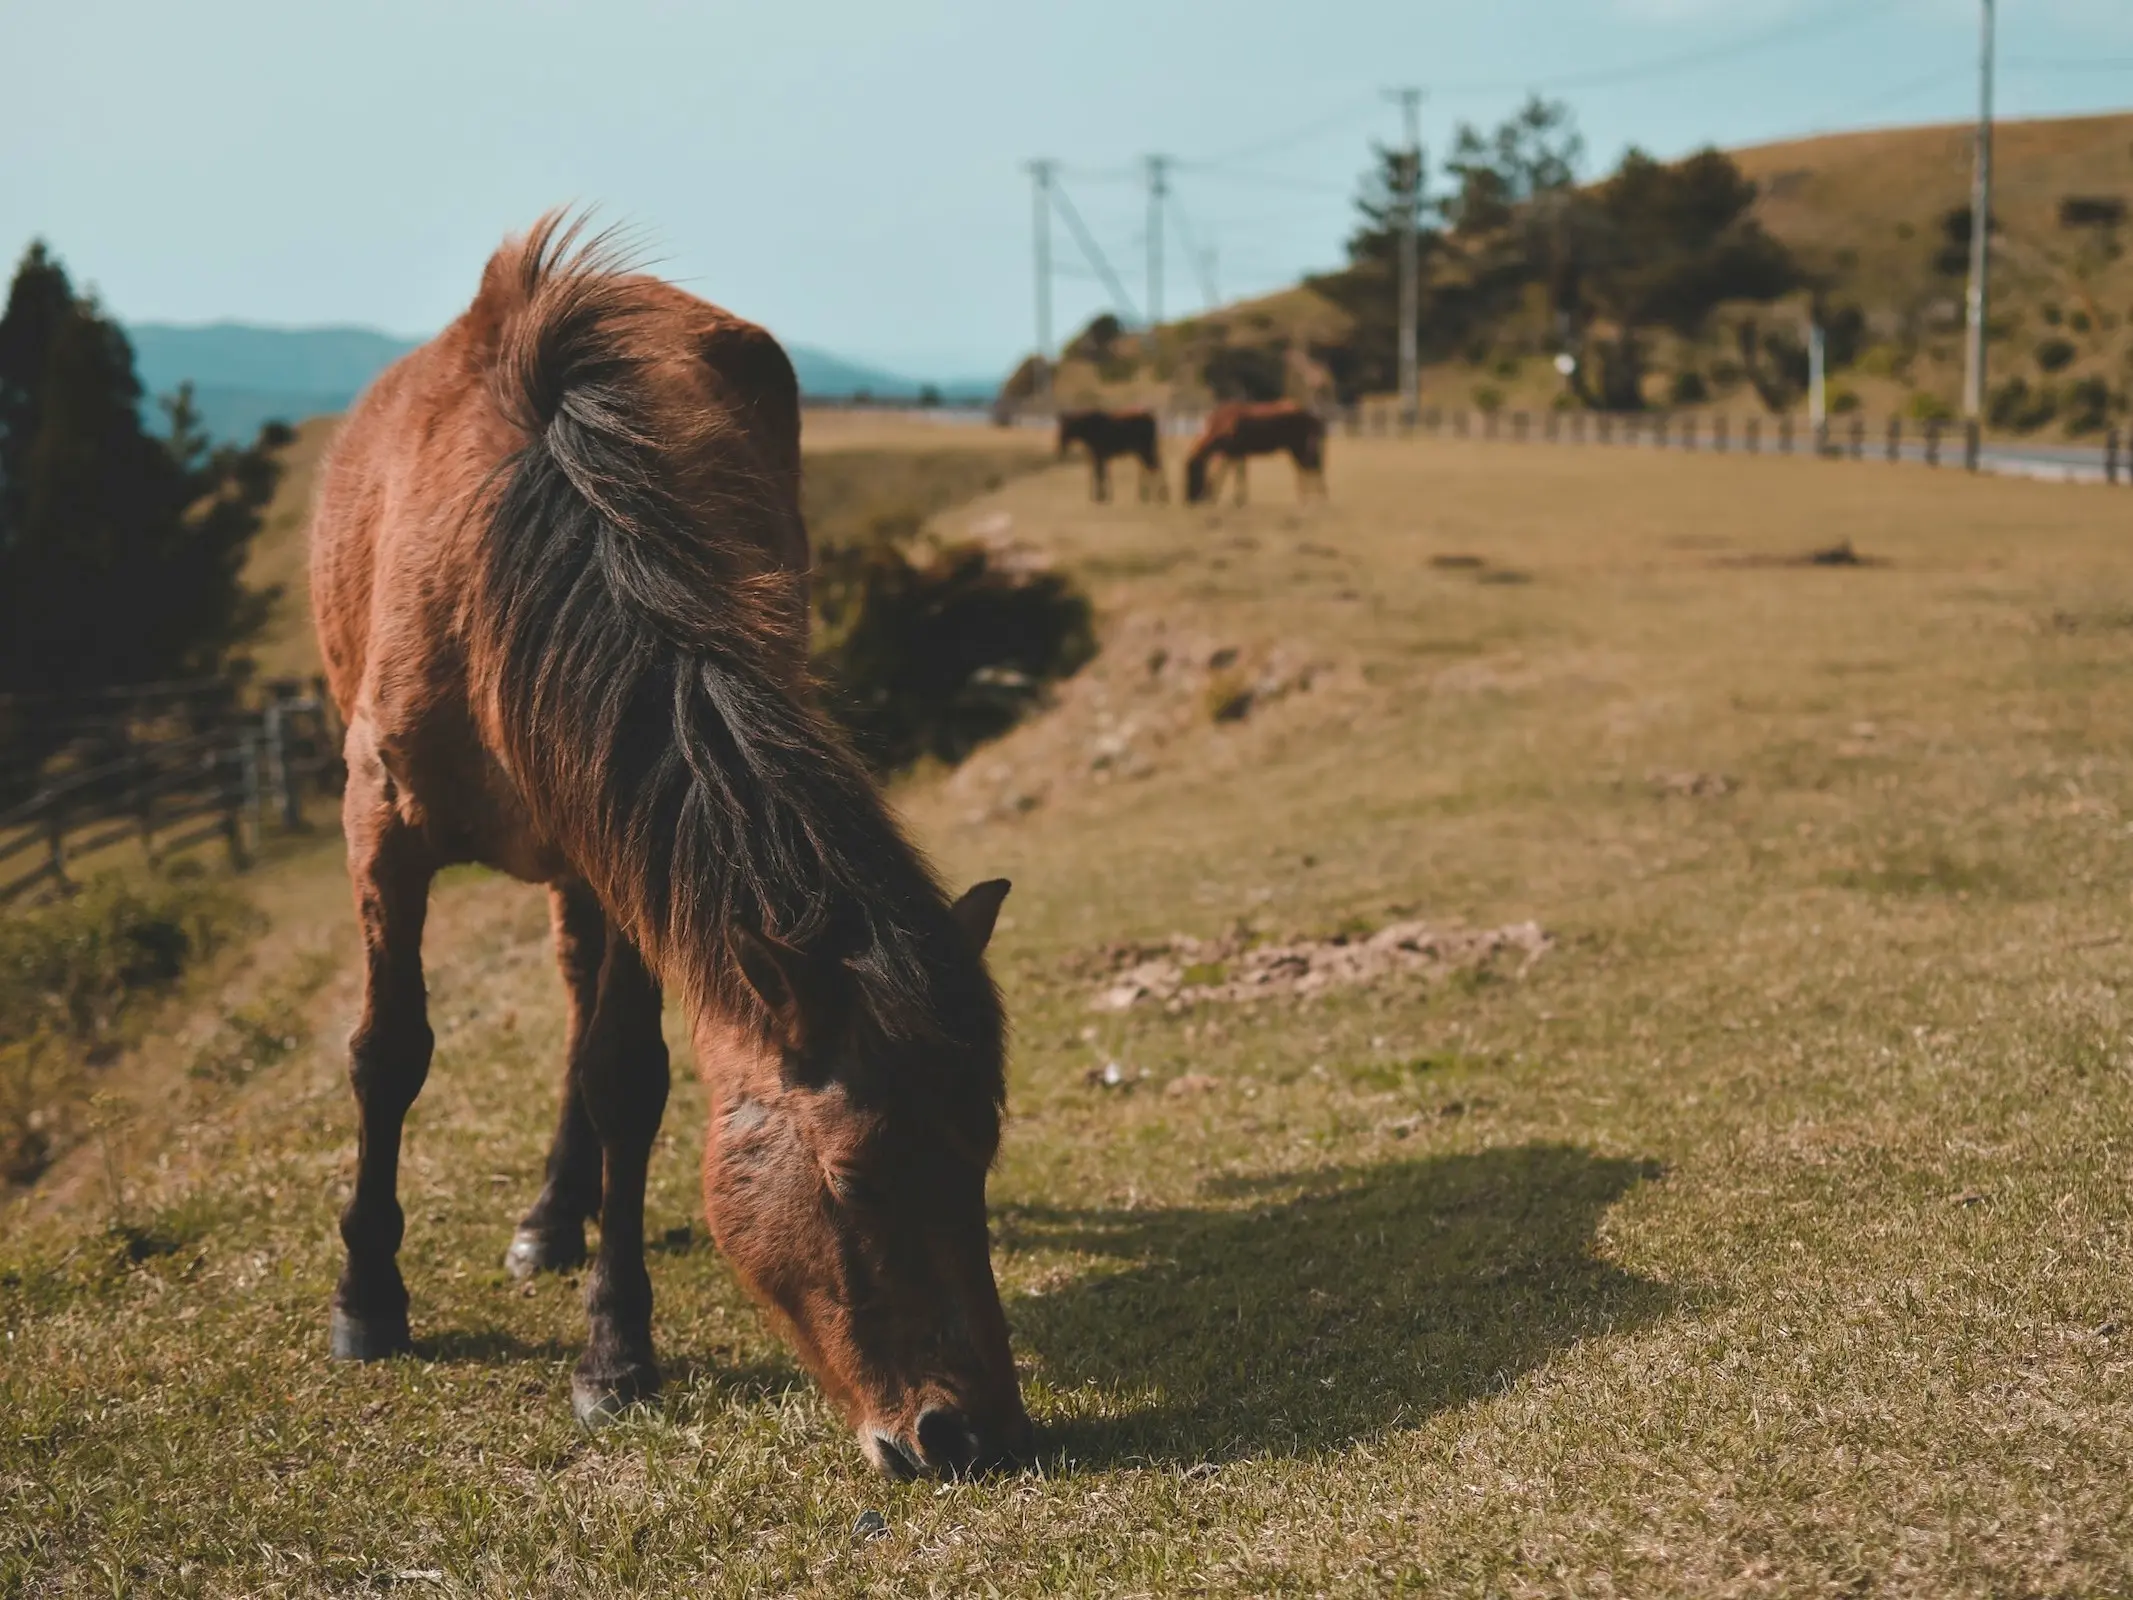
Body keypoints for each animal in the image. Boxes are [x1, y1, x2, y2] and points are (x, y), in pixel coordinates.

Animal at [309, 219, 1032, 1484]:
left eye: (982, 1149)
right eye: (855, 1176)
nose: (974, 1431)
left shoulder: (621, 848)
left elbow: (624, 1079)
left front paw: (613, 1348)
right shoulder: (380, 818)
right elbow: (387, 1052)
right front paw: (368, 1298)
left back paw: (557, 1214)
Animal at [1177, 398, 1322, 503]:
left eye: (1193, 471)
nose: (1189, 499)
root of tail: (1311, 417)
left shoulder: (1235, 453)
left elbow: (1235, 474)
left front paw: (1236, 500)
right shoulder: (1234, 454)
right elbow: (1234, 473)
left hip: (1299, 448)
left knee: (1310, 467)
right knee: (1312, 466)